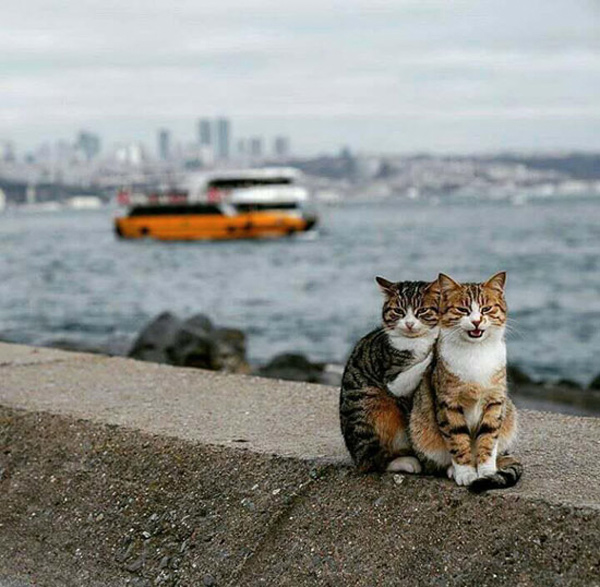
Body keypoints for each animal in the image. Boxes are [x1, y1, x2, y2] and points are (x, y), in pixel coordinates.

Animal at [342, 278, 440, 476]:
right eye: (398, 311)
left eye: (422, 311)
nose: (409, 324)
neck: (417, 340)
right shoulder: (392, 378)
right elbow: (417, 367)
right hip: (369, 406)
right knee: (373, 461)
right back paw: (405, 462)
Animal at [410, 274, 524, 494]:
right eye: (463, 310)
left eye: (486, 309)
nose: (477, 320)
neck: (476, 352)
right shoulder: (449, 403)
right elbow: (457, 439)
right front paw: (466, 473)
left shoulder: (495, 400)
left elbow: (488, 438)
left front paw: (487, 472)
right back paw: (452, 470)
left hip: (510, 415)